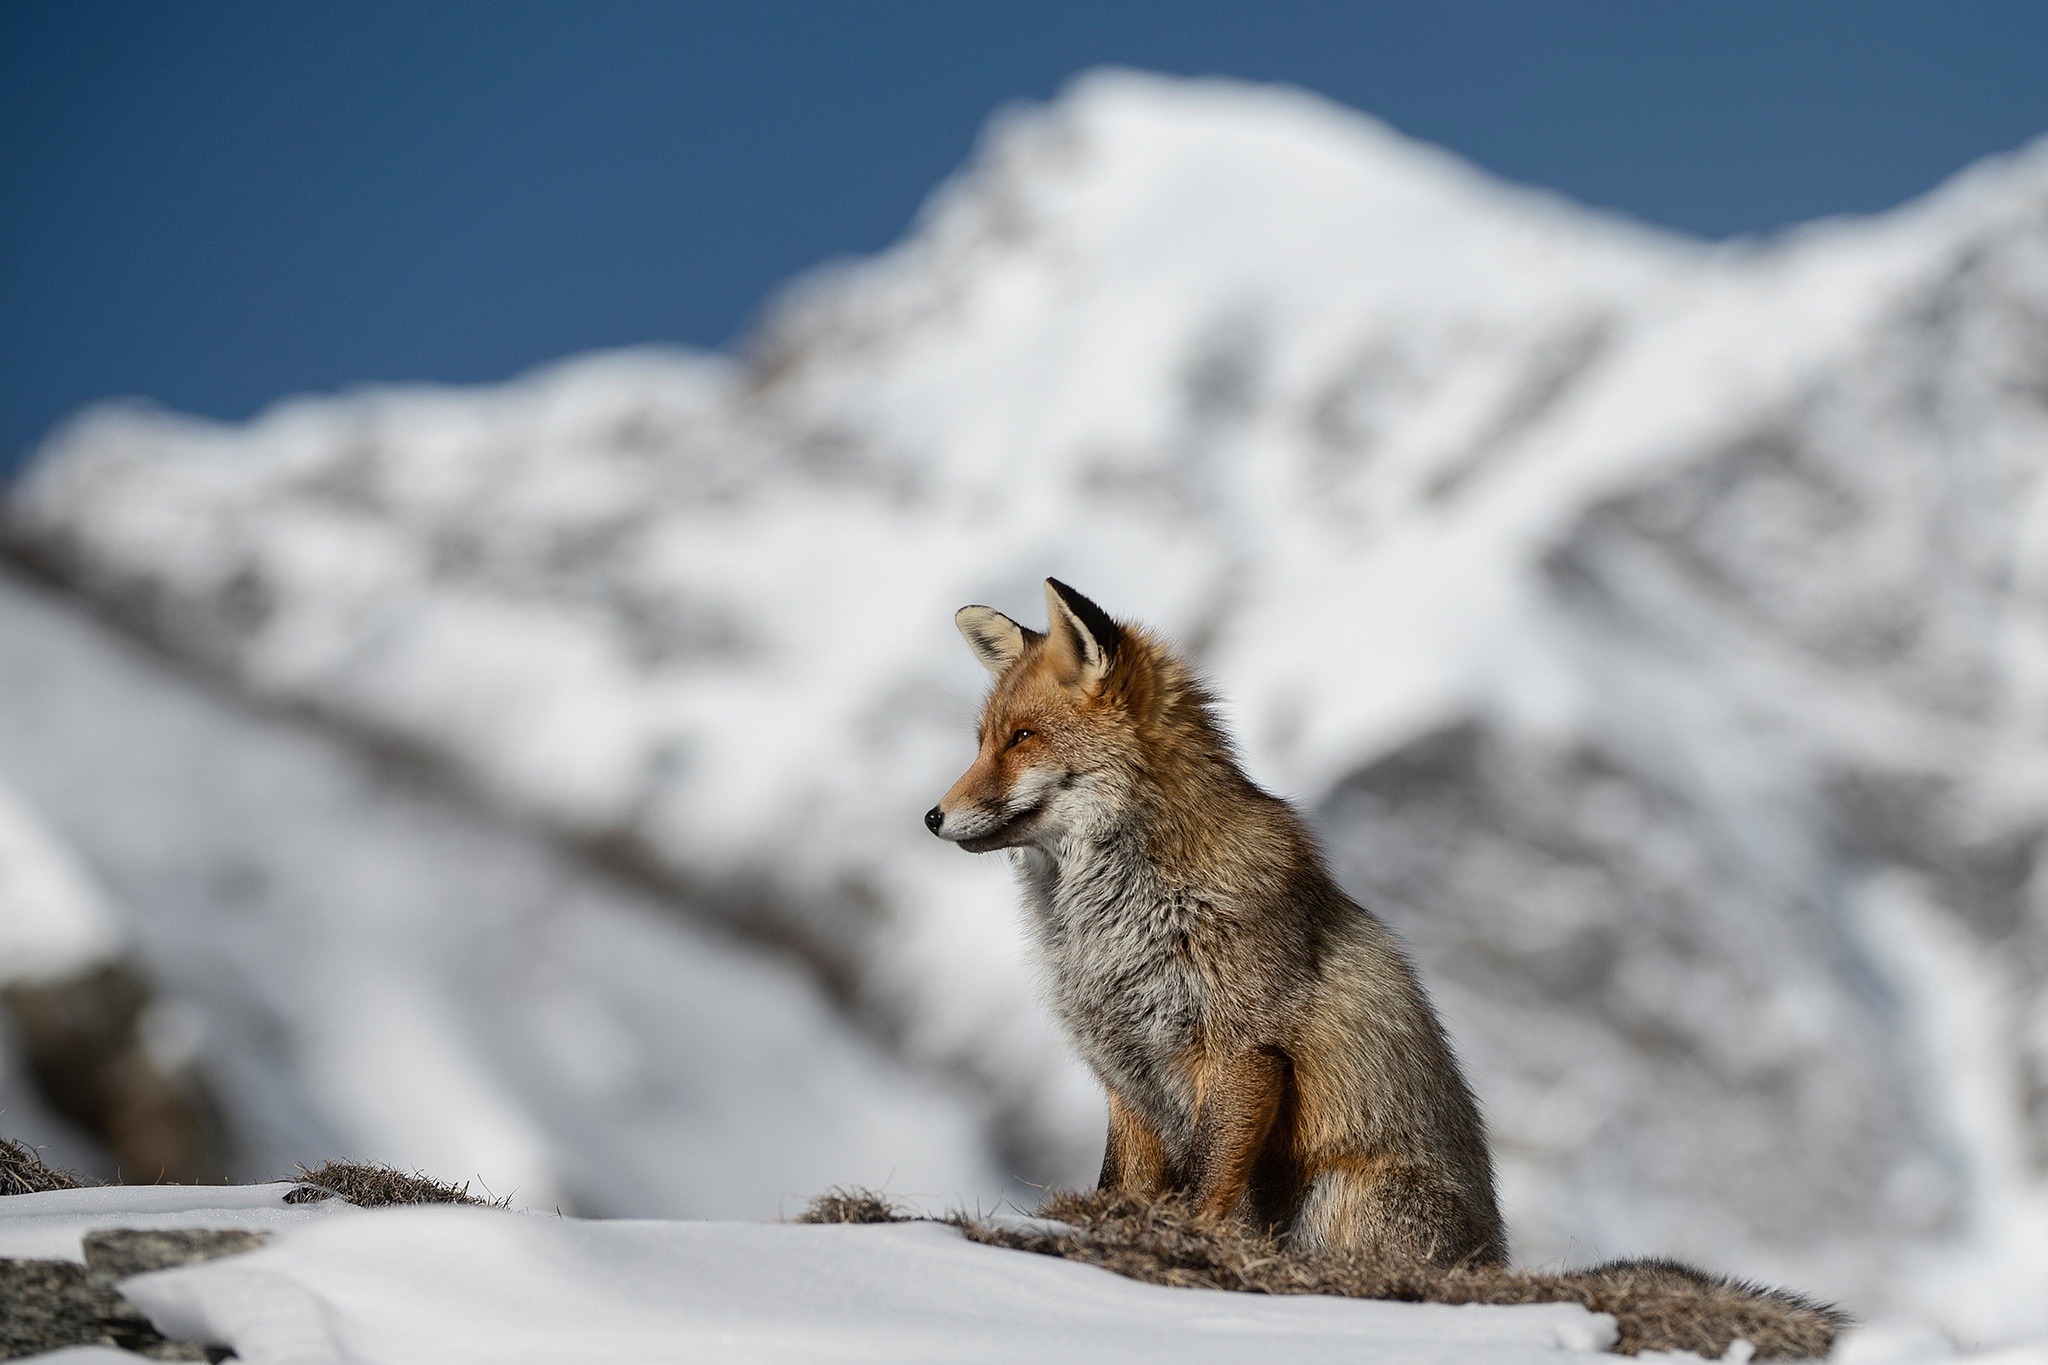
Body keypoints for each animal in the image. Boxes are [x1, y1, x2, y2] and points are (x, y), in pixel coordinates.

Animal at [929, 581, 1507, 1268]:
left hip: (1337, 1195)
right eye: (982, 741)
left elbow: (1206, 1185)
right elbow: (1118, 1181)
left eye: (1022, 737)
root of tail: (1496, 1258)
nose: (932, 817)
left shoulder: (1244, 1049)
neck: (1112, 932)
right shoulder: (1127, 1073)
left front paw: (1178, 1241)